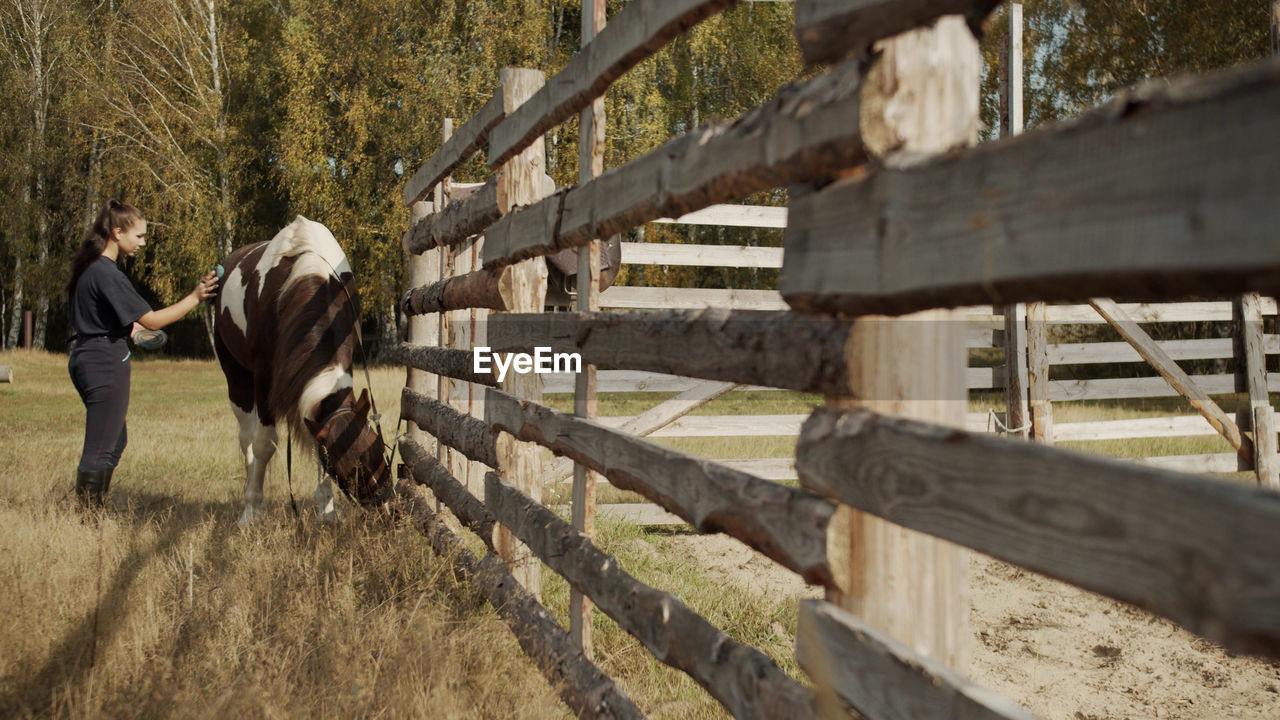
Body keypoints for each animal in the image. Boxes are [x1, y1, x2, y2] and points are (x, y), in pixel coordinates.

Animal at [213, 215, 389, 525]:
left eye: (378, 448)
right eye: (350, 472)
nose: (387, 513)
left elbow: (316, 437)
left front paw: (327, 510)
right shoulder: (264, 378)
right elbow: (264, 444)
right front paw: (252, 510)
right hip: (236, 378)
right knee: (247, 439)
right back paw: (252, 501)